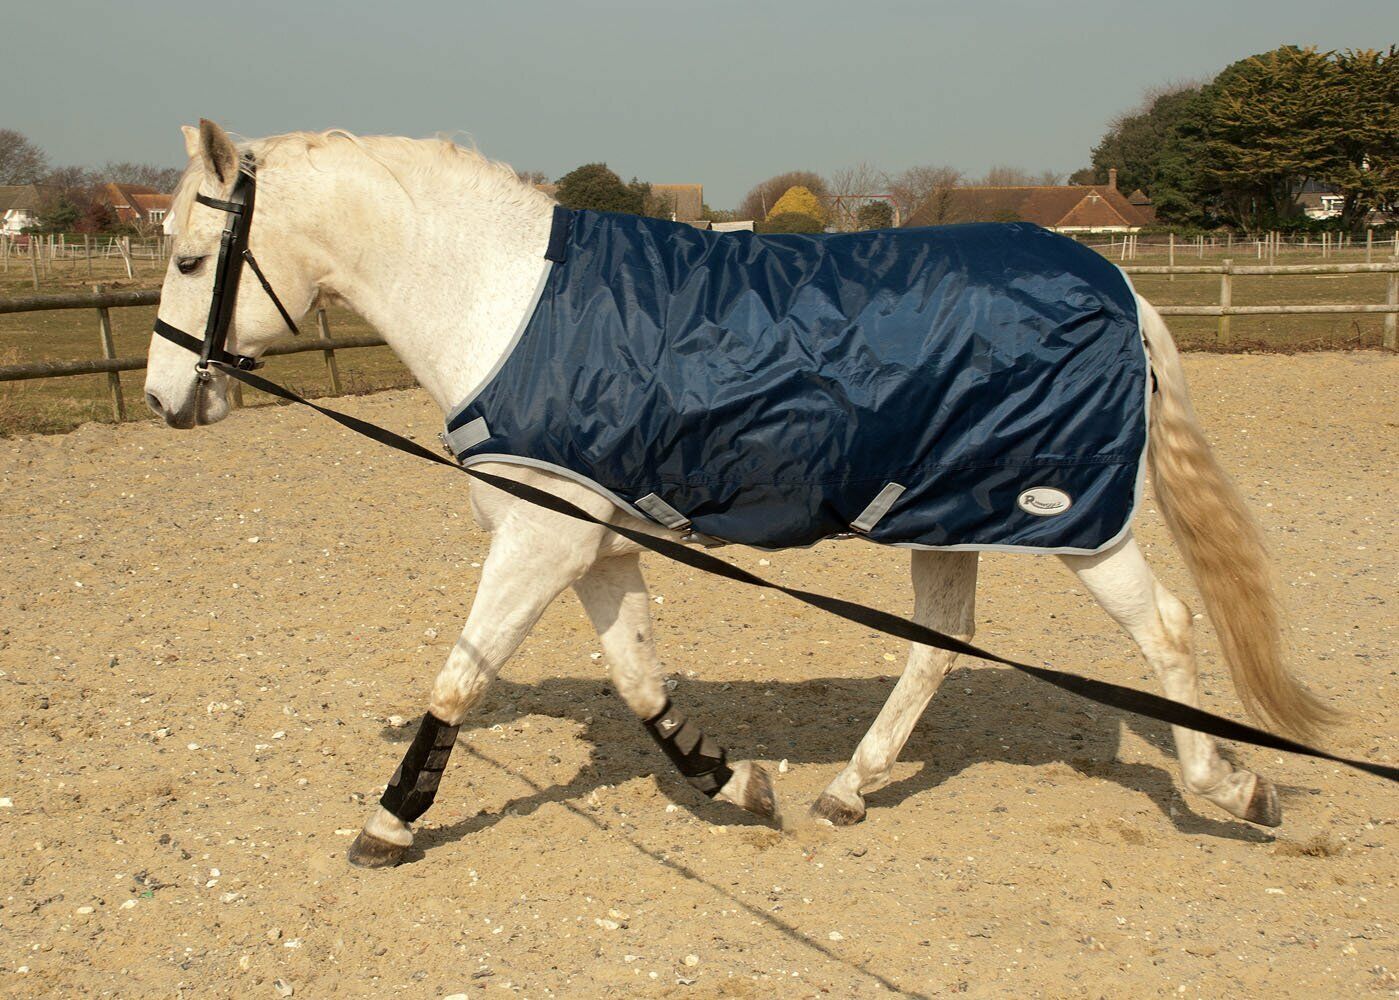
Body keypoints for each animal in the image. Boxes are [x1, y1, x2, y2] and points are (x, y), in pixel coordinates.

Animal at [144, 121, 1331, 868]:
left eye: (196, 258)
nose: (163, 398)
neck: (504, 299)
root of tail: (1118, 282)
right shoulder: (595, 543)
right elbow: (637, 683)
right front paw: (732, 781)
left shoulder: (539, 541)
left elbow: (459, 678)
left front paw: (391, 822)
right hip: (940, 511)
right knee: (940, 642)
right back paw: (850, 786)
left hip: (1071, 522)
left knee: (1164, 629)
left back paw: (1230, 787)